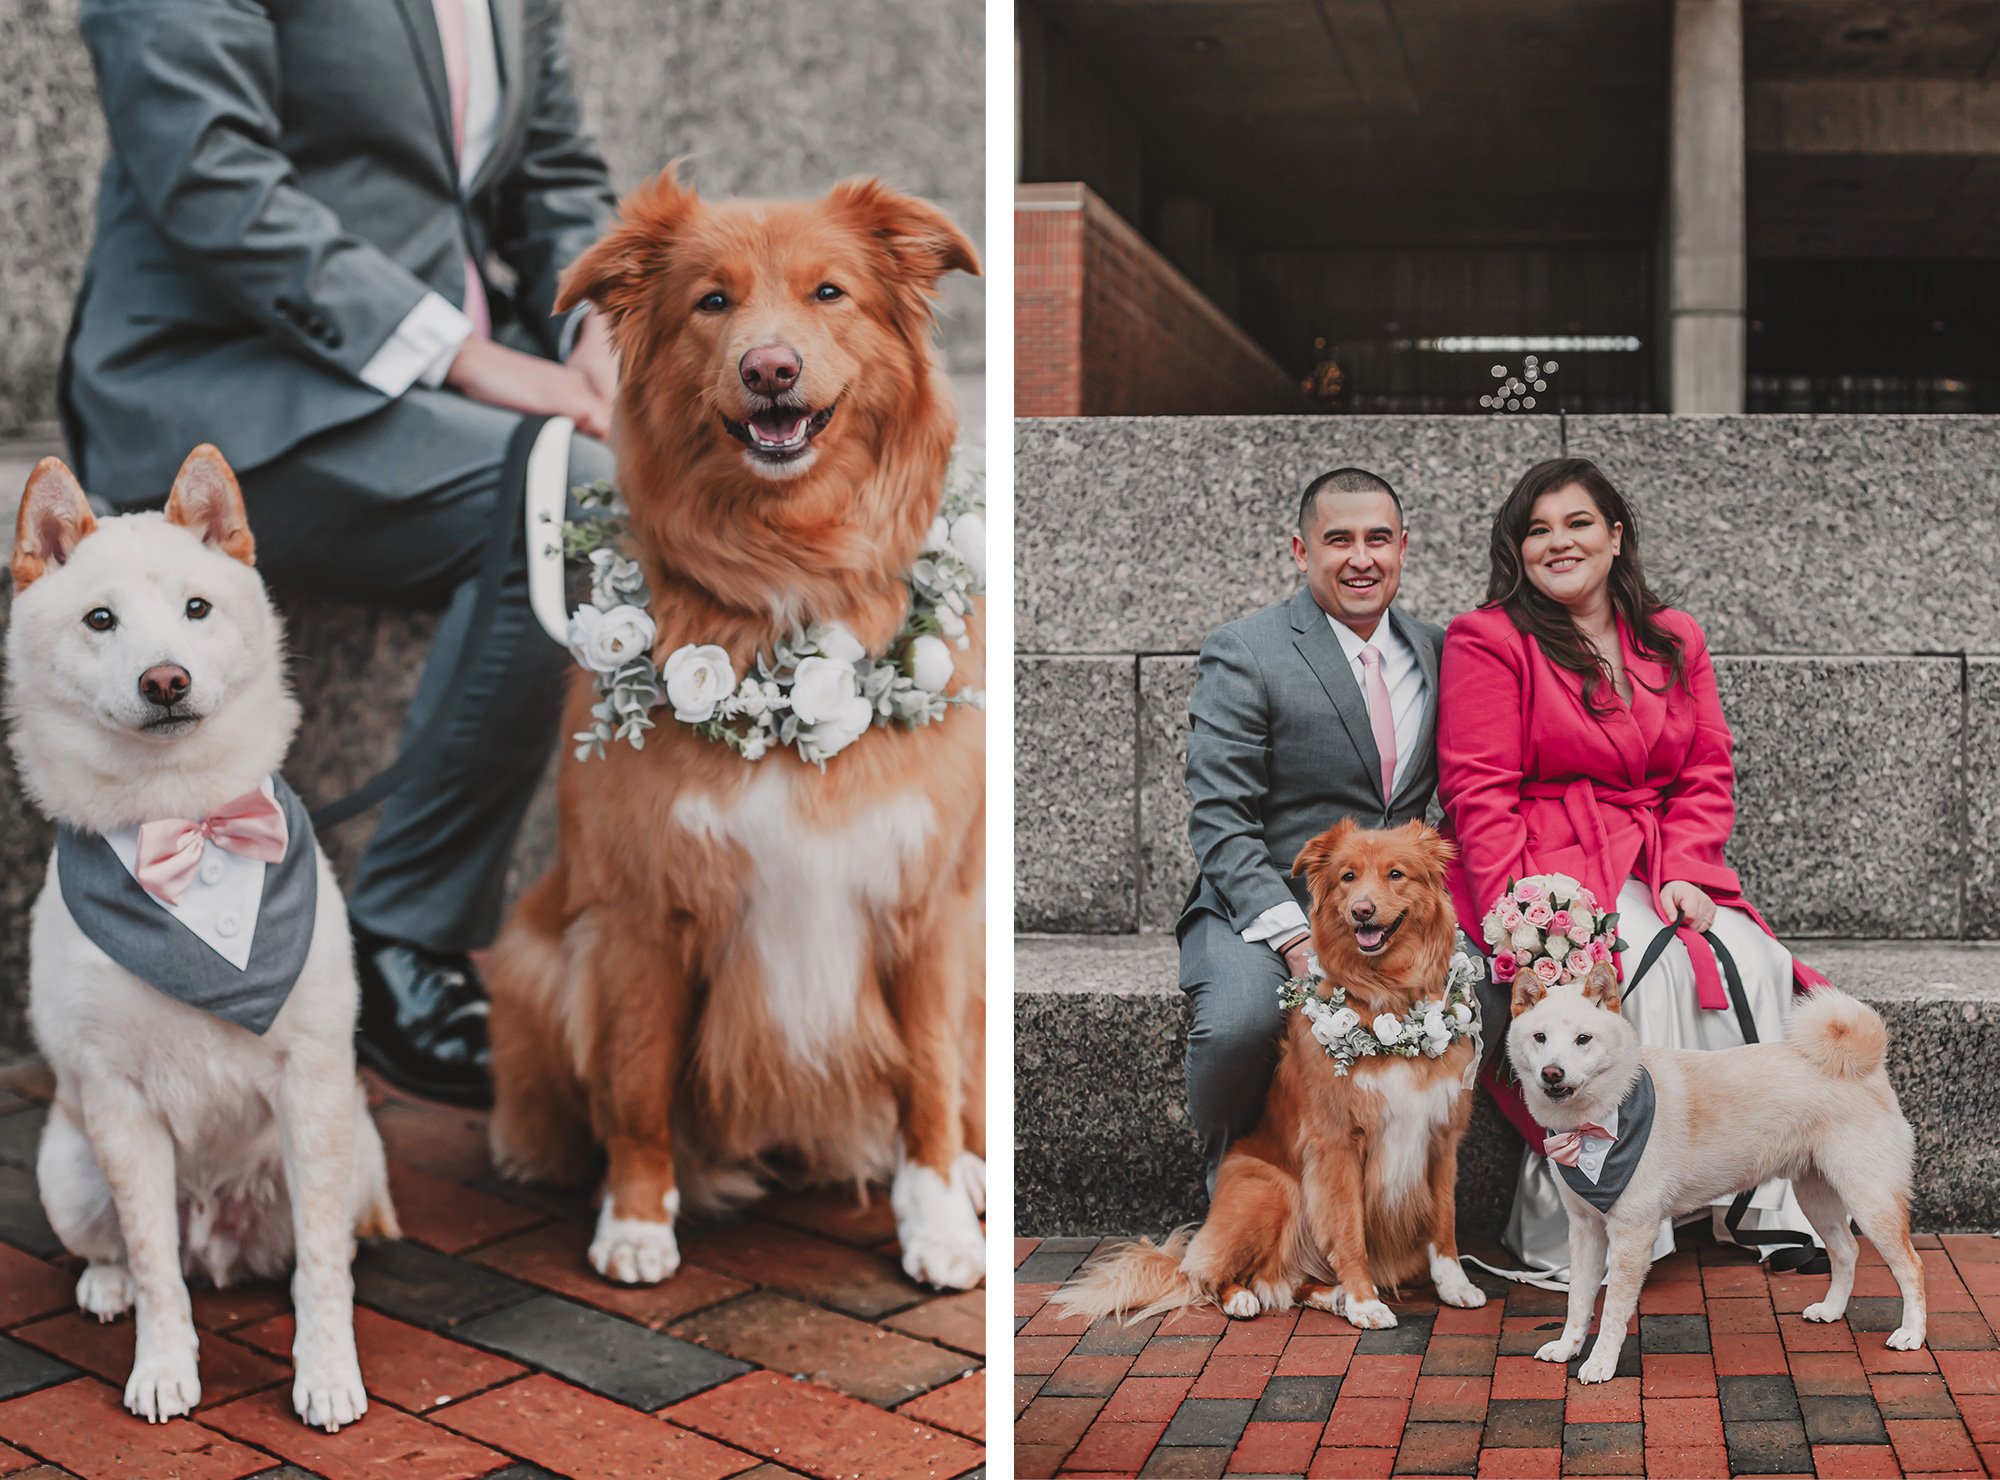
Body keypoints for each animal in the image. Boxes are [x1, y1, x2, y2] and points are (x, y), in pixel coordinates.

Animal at [6, 450, 398, 1432]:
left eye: (196, 608)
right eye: (100, 619)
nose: (166, 680)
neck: (185, 824)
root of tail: (222, 1235)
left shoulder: (313, 1087)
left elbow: (322, 1275)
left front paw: (327, 1373)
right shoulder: (117, 1101)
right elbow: (153, 1263)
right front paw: (162, 1367)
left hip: (354, 1151)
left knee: (326, 1243)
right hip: (69, 1170)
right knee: (126, 1252)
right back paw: (106, 1287)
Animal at [484, 168, 984, 1288]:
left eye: (830, 292)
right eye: (711, 302)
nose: (770, 368)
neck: (789, 572)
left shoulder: (929, 903)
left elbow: (932, 1080)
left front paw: (936, 1223)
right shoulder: (641, 907)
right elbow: (634, 1083)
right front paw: (636, 1221)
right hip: (539, 965)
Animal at [1064, 820, 1488, 1328]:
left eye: (1396, 874)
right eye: (1348, 877)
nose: (1362, 910)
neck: (1391, 1000)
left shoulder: (1441, 1135)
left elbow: (1443, 1224)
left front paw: (1454, 1285)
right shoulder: (1337, 1144)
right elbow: (1349, 1230)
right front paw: (1365, 1301)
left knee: (1289, 1281)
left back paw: (1329, 1295)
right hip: (1272, 1191)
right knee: (1213, 1275)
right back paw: (1246, 1298)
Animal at [1512, 964, 1920, 1384]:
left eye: (1583, 1039)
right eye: (1540, 1037)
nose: (1552, 1073)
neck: (1595, 1126)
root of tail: (1863, 1065)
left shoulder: (1632, 1233)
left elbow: (1612, 1310)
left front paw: (1600, 1363)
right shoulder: (1585, 1227)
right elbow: (1578, 1300)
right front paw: (1568, 1348)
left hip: (1870, 1199)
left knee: (1911, 1267)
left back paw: (1911, 1334)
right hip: (1817, 1197)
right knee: (1846, 1251)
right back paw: (1832, 1309)